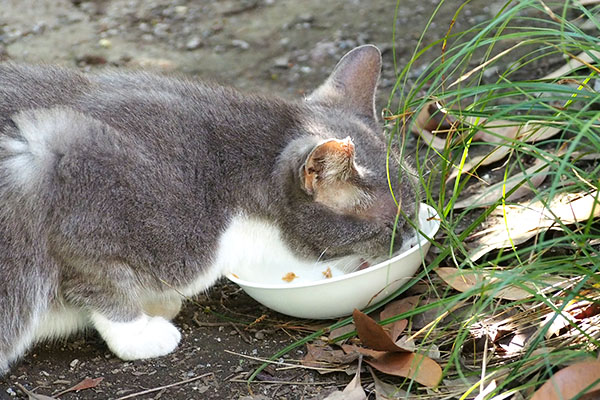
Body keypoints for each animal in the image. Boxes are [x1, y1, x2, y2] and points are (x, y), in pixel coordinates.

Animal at [0, 45, 420, 374]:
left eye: (415, 208)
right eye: (391, 224)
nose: (415, 237)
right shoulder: (77, 206)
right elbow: (105, 289)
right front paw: (142, 335)